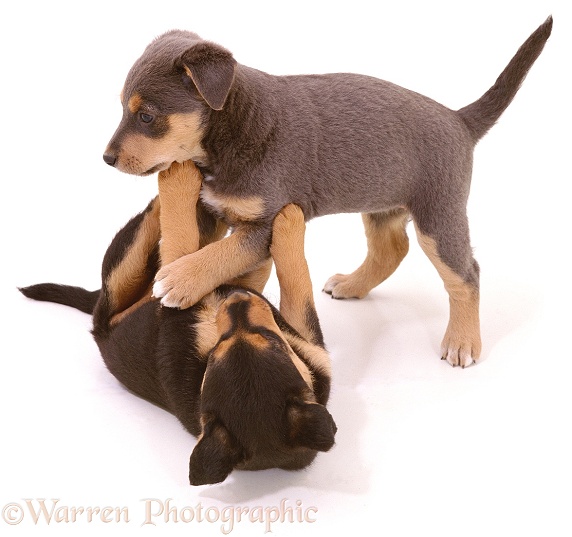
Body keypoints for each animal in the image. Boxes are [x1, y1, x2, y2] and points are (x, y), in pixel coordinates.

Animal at [21, 160, 336, 486]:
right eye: (218, 349)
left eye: (271, 341)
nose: (236, 300)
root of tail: (99, 326)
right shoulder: (312, 350)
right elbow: (290, 279)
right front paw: (284, 220)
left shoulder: (312, 350)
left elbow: (290, 277)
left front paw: (288, 220)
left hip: (122, 279)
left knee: (157, 233)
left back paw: (175, 178)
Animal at [104, 16, 556, 368]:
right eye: (123, 107)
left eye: (147, 116)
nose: (107, 158)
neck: (231, 130)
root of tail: (460, 120)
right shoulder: (212, 210)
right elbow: (197, 244)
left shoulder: (265, 223)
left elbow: (219, 254)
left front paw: (179, 280)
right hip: (382, 203)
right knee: (391, 249)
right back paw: (353, 285)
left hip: (438, 216)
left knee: (466, 274)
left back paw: (462, 341)